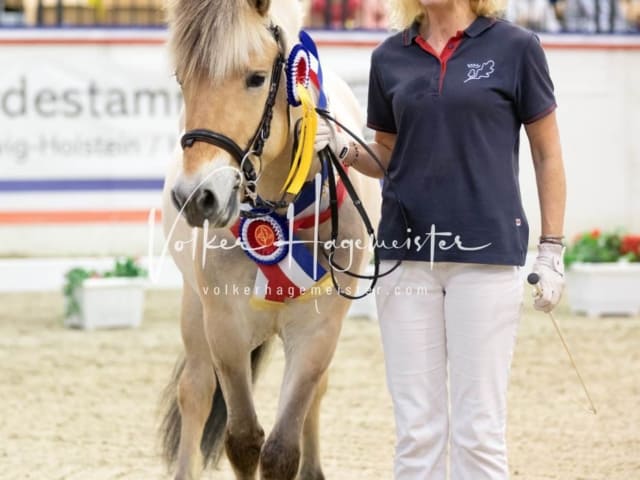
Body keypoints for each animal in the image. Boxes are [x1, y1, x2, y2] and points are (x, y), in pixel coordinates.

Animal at [159, 0, 380, 478]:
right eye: (183, 80)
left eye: (257, 78)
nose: (195, 197)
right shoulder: (225, 327)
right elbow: (243, 441)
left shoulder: (318, 330)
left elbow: (281, 450)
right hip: (193, 309)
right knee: (195, 391)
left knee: (315, 398)